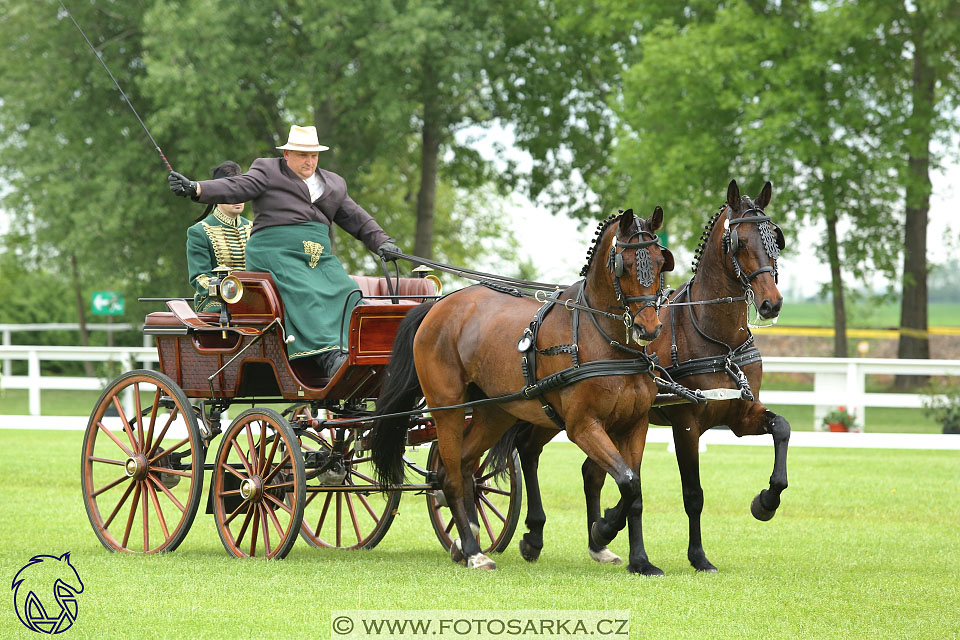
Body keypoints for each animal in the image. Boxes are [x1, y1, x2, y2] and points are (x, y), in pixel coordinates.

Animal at [368, 208, 676, 572]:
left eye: (659, 262)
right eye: (623, 265)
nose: (649, 328)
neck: (604, 340)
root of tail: (440, 305)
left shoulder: (635, 425)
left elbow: (634, 490)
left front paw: (640, 560)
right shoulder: (583, 426)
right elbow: (627, 482)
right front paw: (602, 530)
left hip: (494, 412)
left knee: (465, 465)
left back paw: (466, 538)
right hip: (449, 408)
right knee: (452, 474)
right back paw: (472, 549)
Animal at [510, 180, 788, 576]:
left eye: (774, 239)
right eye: (740, 242)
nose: (771, 303)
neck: (716, 337)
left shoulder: (739, 414)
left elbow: (782, 429)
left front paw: (765, 502)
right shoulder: (686, 423)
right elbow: (693, 494)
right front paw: (698, 556)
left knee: (589, 471)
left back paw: (597, 542)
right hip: (552, 412)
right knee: (529, 450)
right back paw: (535, 535)